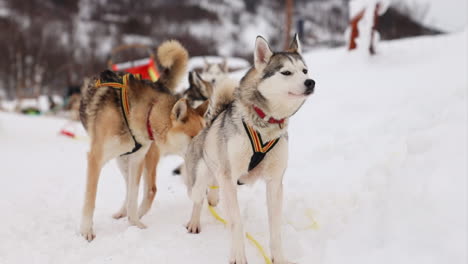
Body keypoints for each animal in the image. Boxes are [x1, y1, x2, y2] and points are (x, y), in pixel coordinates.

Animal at [79, 39, 208, 241]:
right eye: (195, 137)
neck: (146, 113)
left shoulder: (137, 160)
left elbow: (133, 197)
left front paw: (135, 225)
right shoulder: (96, 159)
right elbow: (91, 199)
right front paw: (86, 231)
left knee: (145, 190)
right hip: (122, 160)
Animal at [183, 34, 314, 262]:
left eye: (304, 70)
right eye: (286, 72)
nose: (310, 82)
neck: (266, 124)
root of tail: (210, 122)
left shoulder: (274, 182)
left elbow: (275, 227)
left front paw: (279, 258)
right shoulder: (228, 178)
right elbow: (236, 221)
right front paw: (238, 256)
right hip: (199, 182)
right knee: (198, 200)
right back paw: (194, 222)